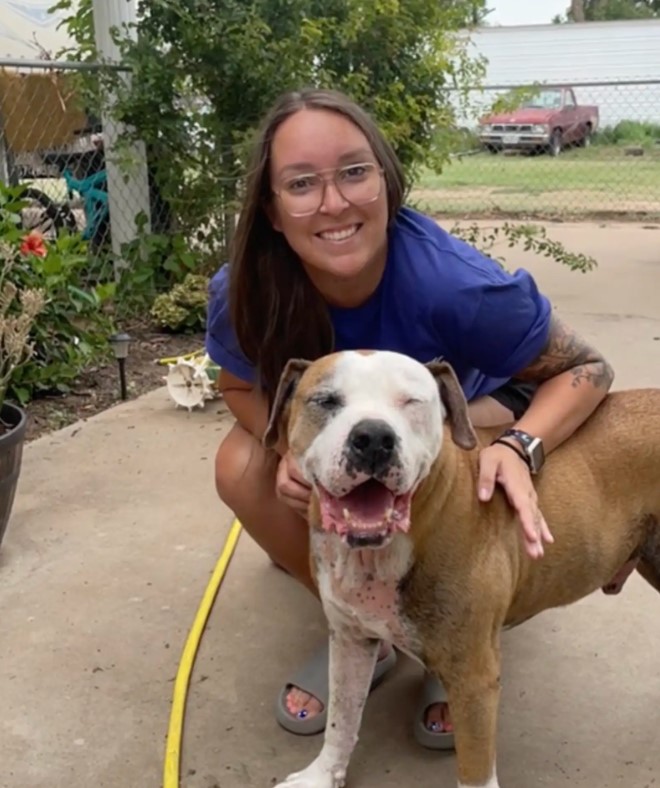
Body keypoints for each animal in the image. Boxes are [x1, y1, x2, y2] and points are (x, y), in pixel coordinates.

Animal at [262, 350, 660, 788]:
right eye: (327, 400)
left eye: (412, 402)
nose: (374, 438)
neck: (381, 552)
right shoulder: (350, 640)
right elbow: (342, 719)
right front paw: (321, 774)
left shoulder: (474, 680)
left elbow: (474, 772)